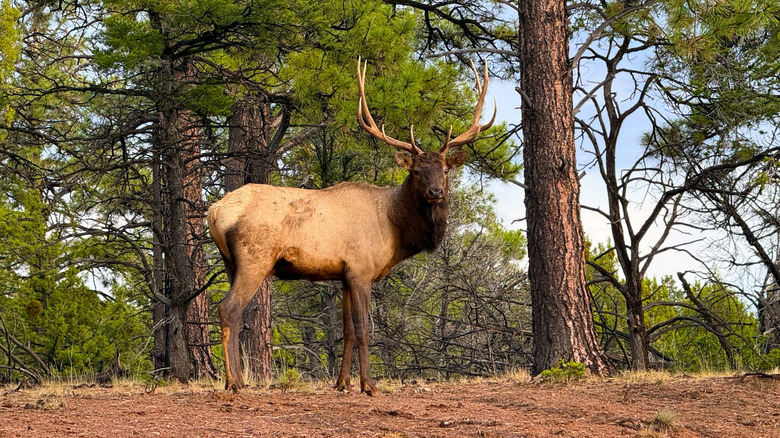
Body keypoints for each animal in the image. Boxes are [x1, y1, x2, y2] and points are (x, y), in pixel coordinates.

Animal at [207, 58, 495, 394]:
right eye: (416, 171)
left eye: (445, 170)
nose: (436, 192)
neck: (395, 229)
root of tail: (214, 211)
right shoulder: (361, 270)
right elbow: (363, 329)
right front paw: (369, 385)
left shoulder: (343, 275)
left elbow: (346, 330)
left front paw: (342, 382)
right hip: (256, 257)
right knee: (229, 308)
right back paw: (235, 383)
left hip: (230, 262)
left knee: (235, 313)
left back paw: (236, 380)